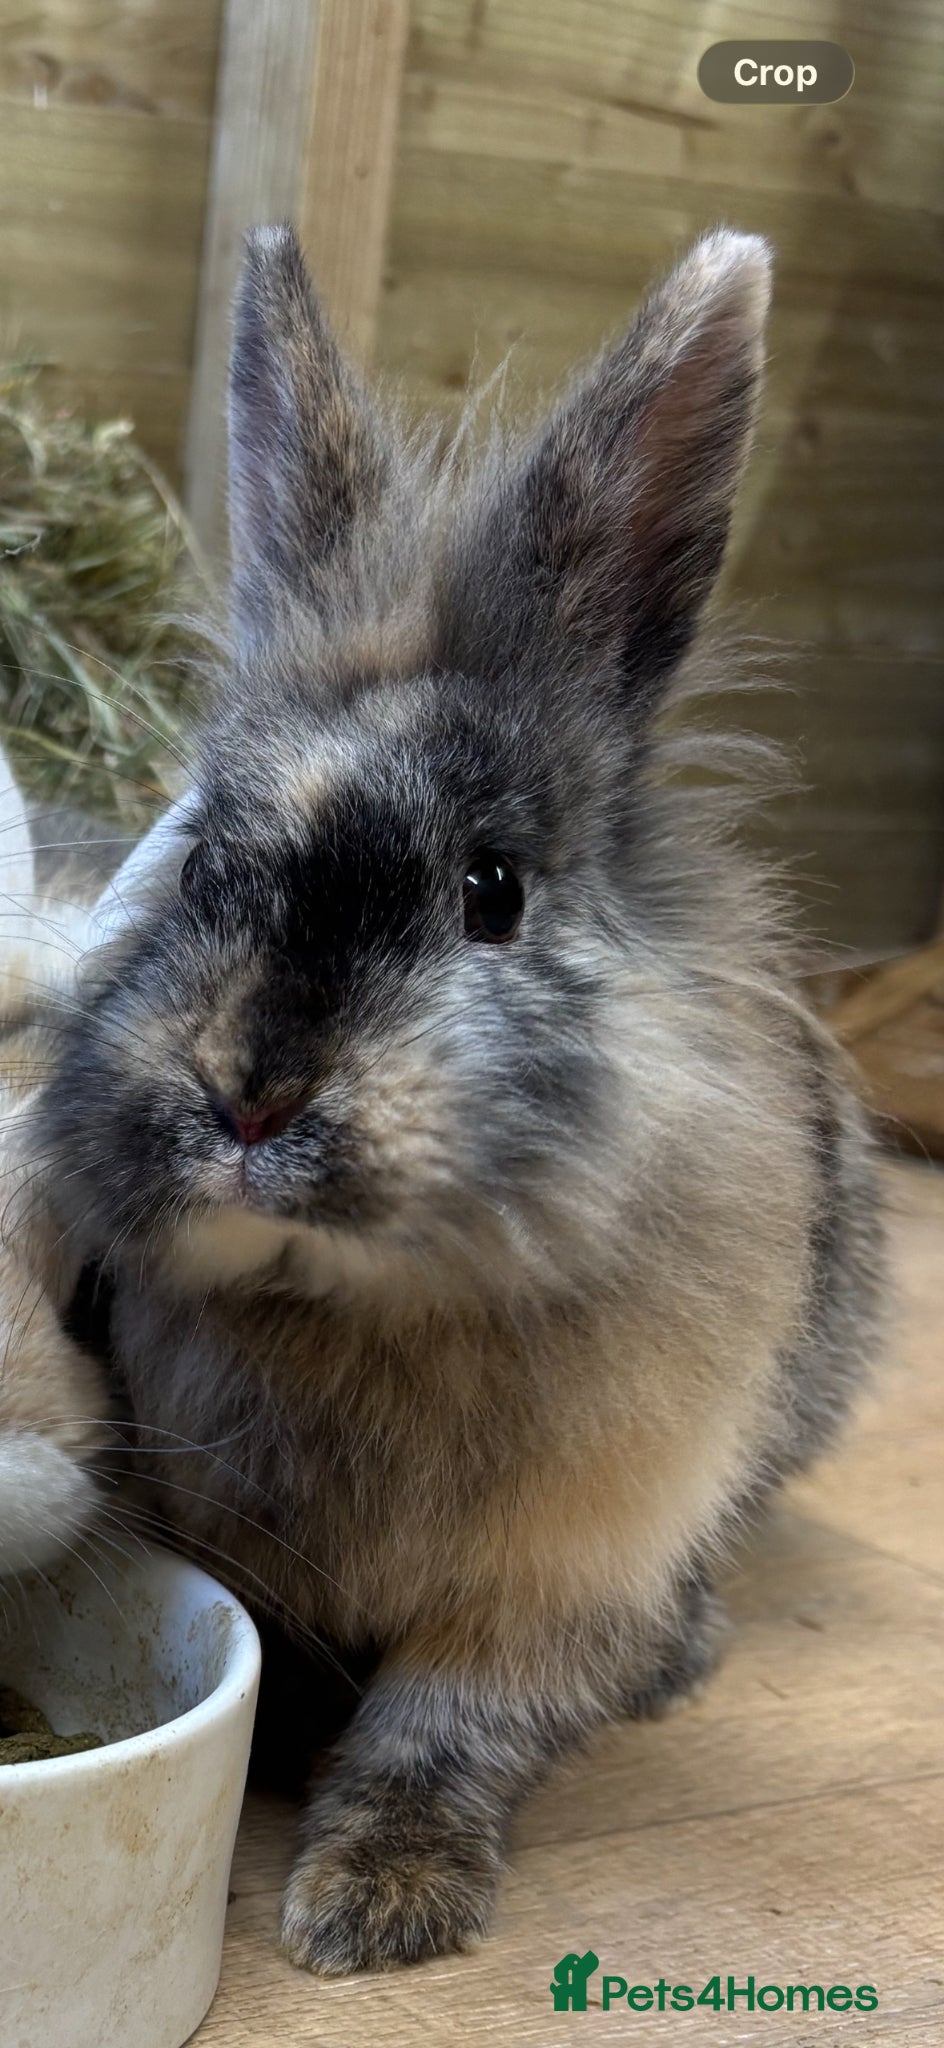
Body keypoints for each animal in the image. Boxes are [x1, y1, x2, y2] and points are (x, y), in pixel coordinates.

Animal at [30, 223, 882, 1973]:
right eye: (200, 865)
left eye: (491, 892)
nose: (253, 1099)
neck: (353, 1308)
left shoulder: (561, 1570)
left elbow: (448, 1726)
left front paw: (373, 1907)